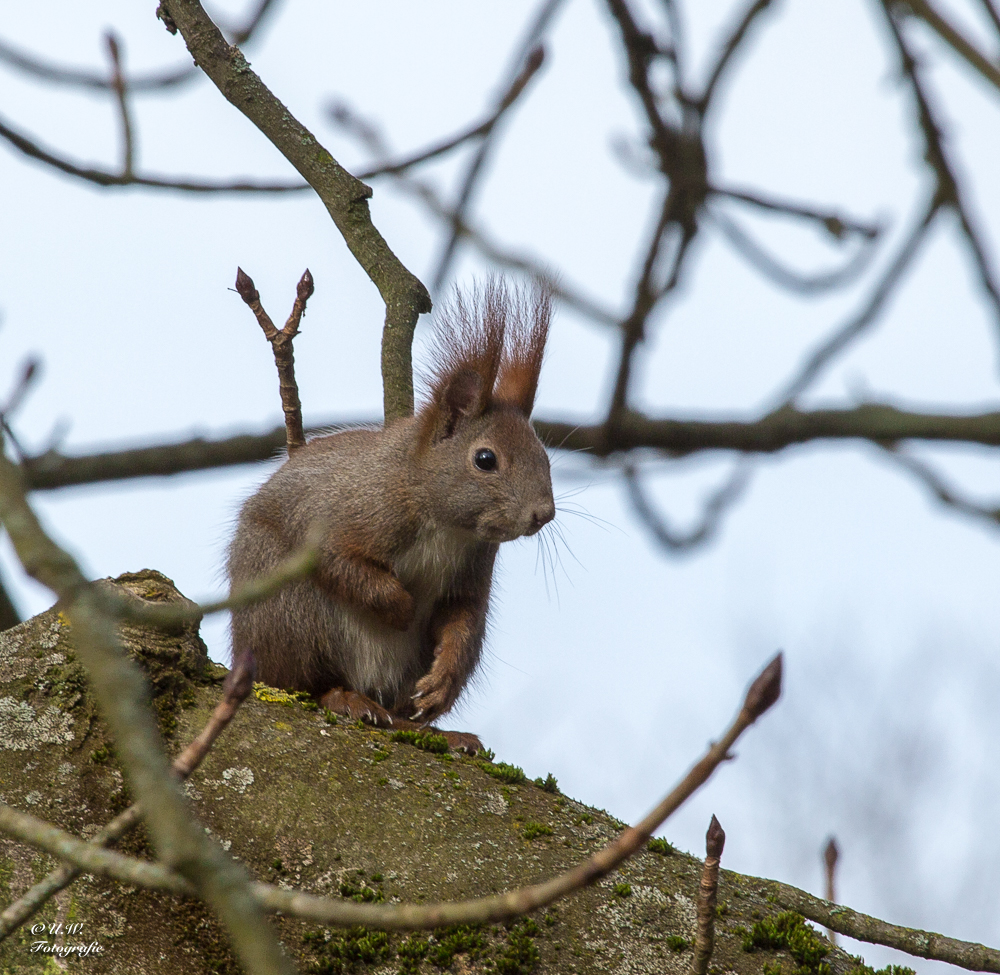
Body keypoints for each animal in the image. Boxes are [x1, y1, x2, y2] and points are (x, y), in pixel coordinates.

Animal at [228, 282, 556, 756]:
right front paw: (403, 608)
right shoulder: (346, 514)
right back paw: (345, 698)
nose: (543, 513)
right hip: (292, 613)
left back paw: (434, 729)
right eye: (485, 459)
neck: (445, 523)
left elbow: (462, 619)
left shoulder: (474, 567)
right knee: (305, 683)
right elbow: (340, 562)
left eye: (545, 457)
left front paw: (441, 681)